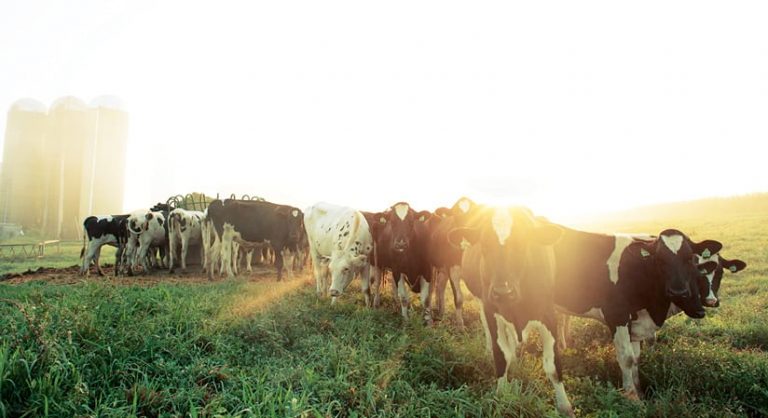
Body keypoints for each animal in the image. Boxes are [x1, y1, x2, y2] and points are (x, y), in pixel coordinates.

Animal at [448, 207, 572, 416]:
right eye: (484, 244)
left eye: (523, 243)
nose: (502, 292)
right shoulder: (492, 311)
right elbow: (501, 356)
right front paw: (501, 396)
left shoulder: (548, 313)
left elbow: (553, 365)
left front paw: (565, 407)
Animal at [544, 224, 720, 400]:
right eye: (659, 260)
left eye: (689, 258)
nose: (678, 292)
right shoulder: (617, 316)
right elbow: (626, 358)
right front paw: (631, 396)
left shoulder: (637, 324)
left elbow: (636, 358)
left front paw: (640, 391)